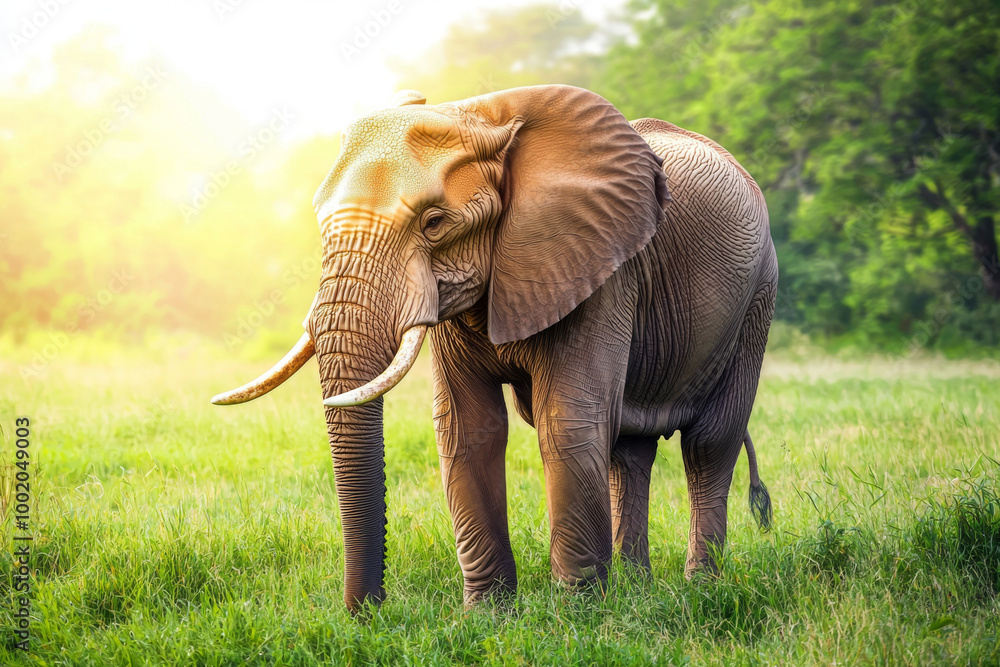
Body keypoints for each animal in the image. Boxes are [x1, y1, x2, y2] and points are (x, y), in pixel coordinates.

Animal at [212, 85, 777, 614]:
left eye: (435, 223)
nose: (367, 614)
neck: (479, 114)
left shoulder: (598, 270)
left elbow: (567, 421)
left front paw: (578, 618)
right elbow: (467, 427)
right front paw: (489, 616)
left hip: (757, 298)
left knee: (708, 443)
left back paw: (701, 589)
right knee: (628, 452)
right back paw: (639, 591)